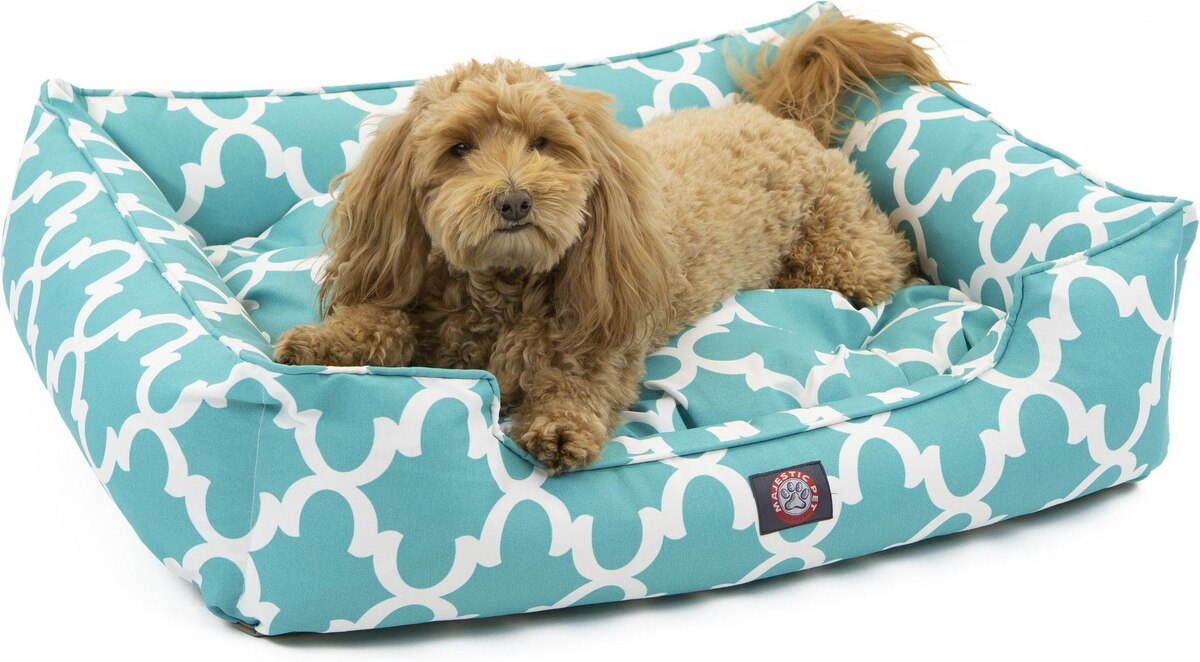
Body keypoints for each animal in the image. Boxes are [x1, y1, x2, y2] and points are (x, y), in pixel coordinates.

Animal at [275, 16, 945, 473]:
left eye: (543, 143)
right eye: (459, 148)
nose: (515, 201)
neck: (500, 289)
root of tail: (779, 117)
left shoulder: (599, 338)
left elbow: (578, 382)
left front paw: (558, 427)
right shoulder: (421, 298)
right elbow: (379, 319)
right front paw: (319, 343)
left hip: (841, 258)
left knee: (886, 263)